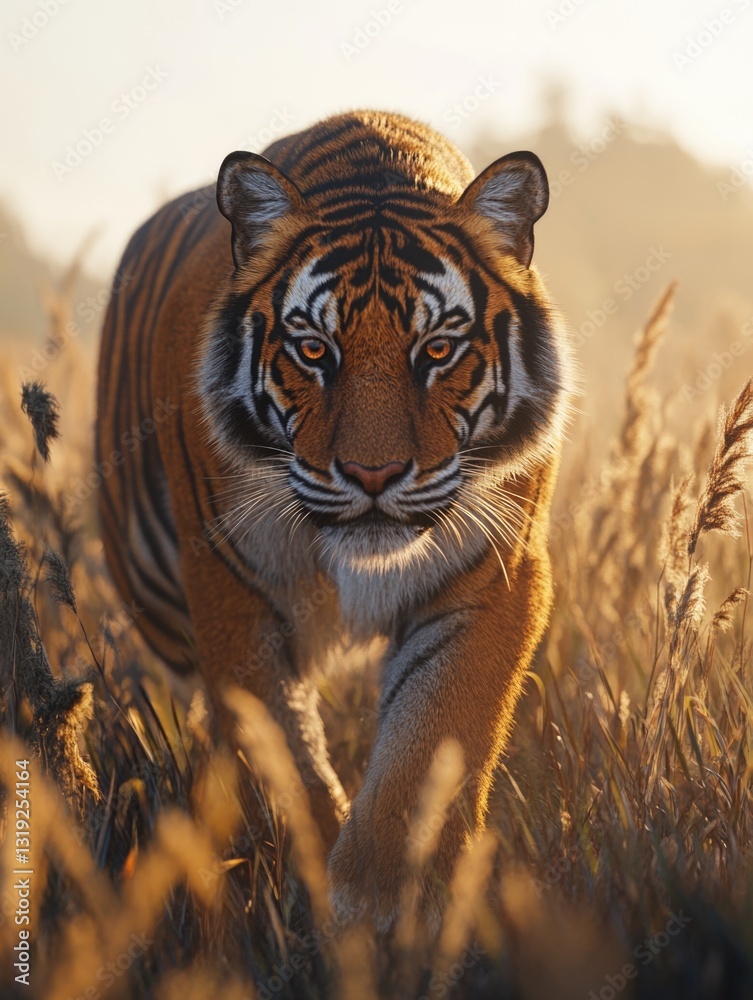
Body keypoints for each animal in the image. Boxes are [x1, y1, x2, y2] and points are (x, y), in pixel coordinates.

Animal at [96, 109, 573, 927]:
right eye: (314, 350)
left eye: (436, 349)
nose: (372, 475)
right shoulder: (229, 583)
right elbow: (280, 750)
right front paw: (314, 884)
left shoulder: (496, 573)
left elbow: (431, 737)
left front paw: (389, 903)